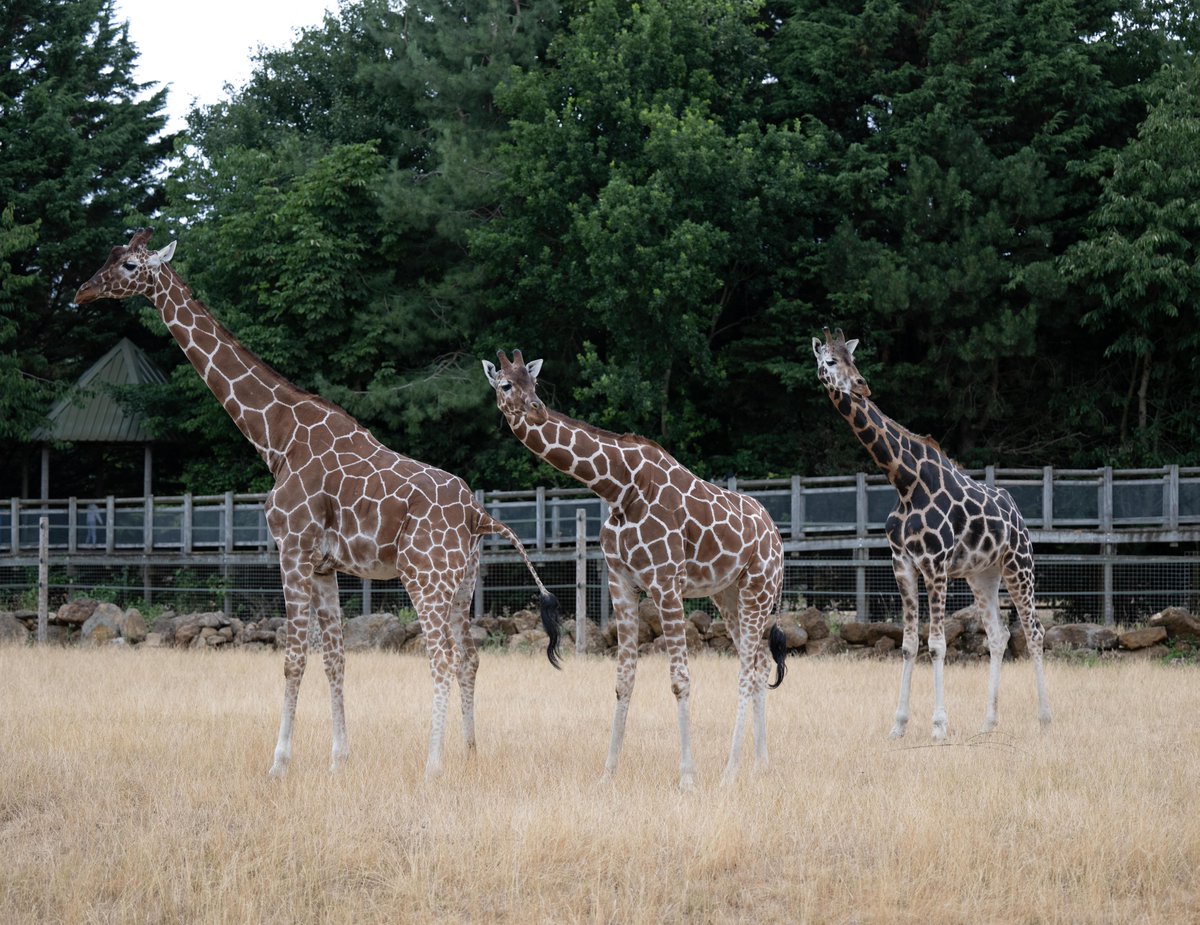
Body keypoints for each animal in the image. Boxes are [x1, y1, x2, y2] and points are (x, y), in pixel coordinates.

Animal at [74, 229, 561, 779]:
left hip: (426, 578)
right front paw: (338, 760)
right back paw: (469, 753)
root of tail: (481, 514)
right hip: (461, 584)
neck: (276, 437)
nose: (83, 292)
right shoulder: (326, 566)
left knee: (441, 657)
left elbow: (293, 659)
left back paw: (432, 766)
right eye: (111, 256)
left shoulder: (292, 548)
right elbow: (334, 659)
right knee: (470, 656)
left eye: (131, 265)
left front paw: (278, 762)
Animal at [483, 349, 787, 788]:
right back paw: (760, 766)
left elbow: (680, 680)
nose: (536, 409)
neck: (618, 487)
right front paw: (607, 773)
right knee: (759, 663)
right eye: (506, 384)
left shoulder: (666, 581)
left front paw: (687, 777)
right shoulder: (622, 583)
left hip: (759, 587)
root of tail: (776, 535)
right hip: (728, 593)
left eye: (534, 383)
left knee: (748, 670)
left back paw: (730, 772)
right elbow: (623, 679)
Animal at [812, 327, 1050, 741]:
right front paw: (898, 725)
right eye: (829, 360)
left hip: (1020, 565)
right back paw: (988, 724)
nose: (861, 386)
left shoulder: (935, 564)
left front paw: (939, 726)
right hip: (982, 575)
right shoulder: (903, 564)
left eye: (853, 359)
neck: (904, 481)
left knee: (1034, 631)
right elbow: (909, 644)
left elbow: (938, 644)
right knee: (998, 635)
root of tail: (1018, 514)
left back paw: (1044, 718)